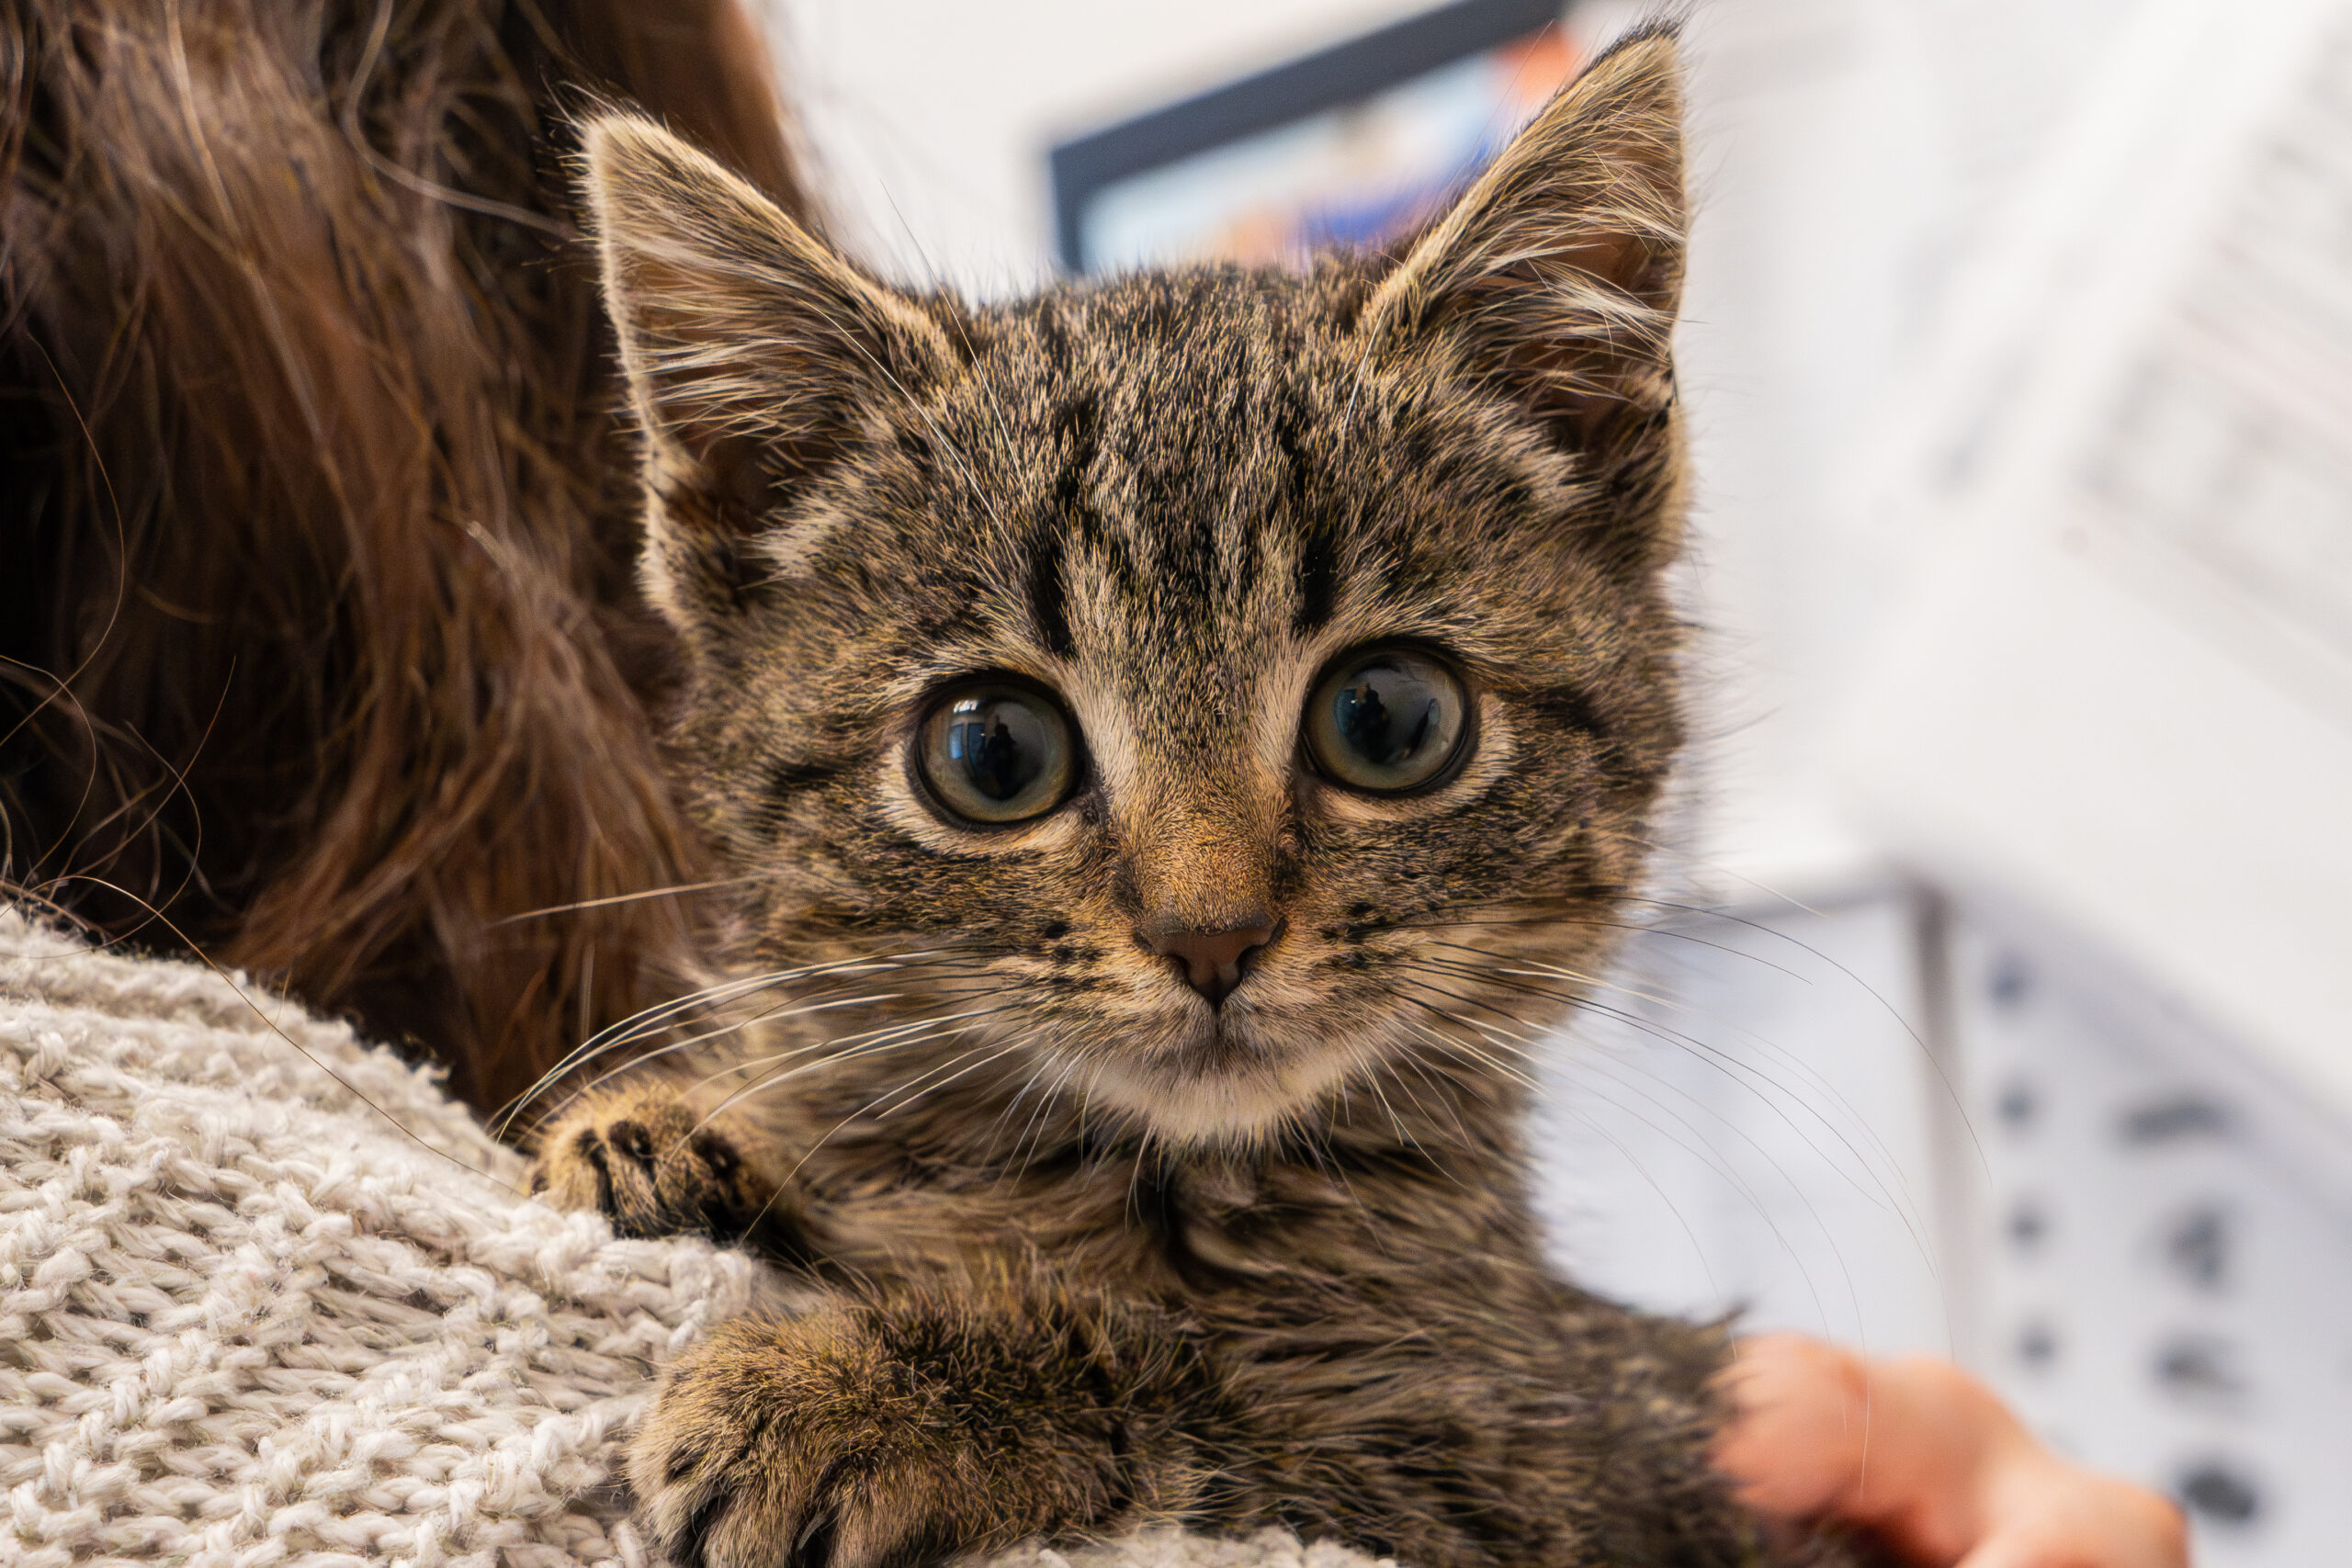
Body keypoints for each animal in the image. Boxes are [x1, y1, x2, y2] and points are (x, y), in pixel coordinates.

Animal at [529, 30, 1834, 1568]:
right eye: (992, 754)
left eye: (1391, 719)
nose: (1212, 935)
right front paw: (670, 1125)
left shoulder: (1531, 1470)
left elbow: (1199, 1384)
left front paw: (867, 1388)